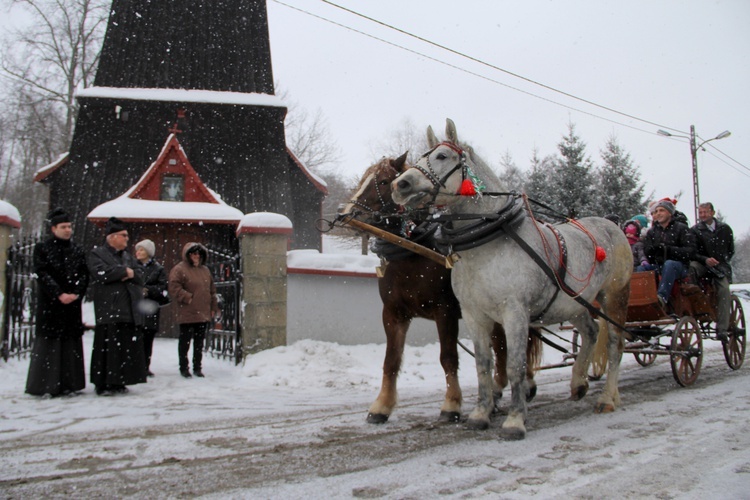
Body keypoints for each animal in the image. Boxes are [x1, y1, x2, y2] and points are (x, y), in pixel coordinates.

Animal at [340, 154, 540, 424]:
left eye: (382, 181)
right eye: (363, 178)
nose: (346, 214)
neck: (412, 250)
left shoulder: (444, 311)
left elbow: (448, 357)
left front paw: (451, 404)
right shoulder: (393, 313)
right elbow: (391, 360)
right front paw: (382, 406)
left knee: (511, 346)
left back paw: (523, 386)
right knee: (501, 348)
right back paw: (499, 390)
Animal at [394, 119, 636, 440]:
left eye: (442, 156)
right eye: (421, 157)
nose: (400, 185)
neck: (486, 244)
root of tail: (612, 224)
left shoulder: (515, 313)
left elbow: (515, 365)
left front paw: (515, 419)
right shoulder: (474, 315)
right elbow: (483, 365)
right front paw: (480, 414)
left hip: (614, 296)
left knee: (615, 344)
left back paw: (608, 397)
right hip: (575, 303)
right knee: (591, 332)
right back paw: (578, 382)